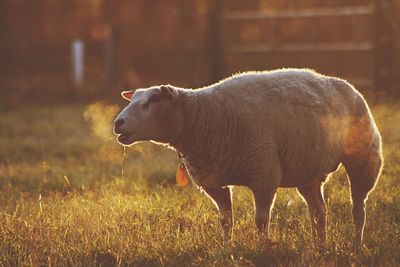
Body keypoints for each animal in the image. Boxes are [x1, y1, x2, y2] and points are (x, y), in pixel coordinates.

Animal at [114, 68, 382, 249]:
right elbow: (225, 220)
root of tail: (344, 84)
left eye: (154, 100)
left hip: (364, 159)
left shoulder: (264, 174)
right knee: (318, 211)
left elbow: (261, 220)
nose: (118, 123)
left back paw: (356, 245)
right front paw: (226, 247)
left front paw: (263, 248)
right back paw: (320, 246)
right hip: (308, 172)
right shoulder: (213, 183)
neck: (205, 117)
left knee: (359, 208)